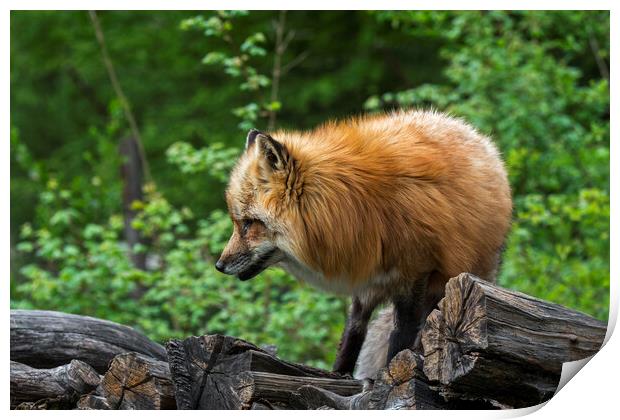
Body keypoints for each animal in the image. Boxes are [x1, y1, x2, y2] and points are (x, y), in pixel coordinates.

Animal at [216, 110, 512, 376]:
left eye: (248, 223)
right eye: (237, 222)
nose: (219, 265)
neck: (355, 206)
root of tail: (470, 131)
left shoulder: (414, 274)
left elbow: (400, 337)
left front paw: (390, 377)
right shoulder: (366, 276)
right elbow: (353, 332)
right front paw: (339, 373)